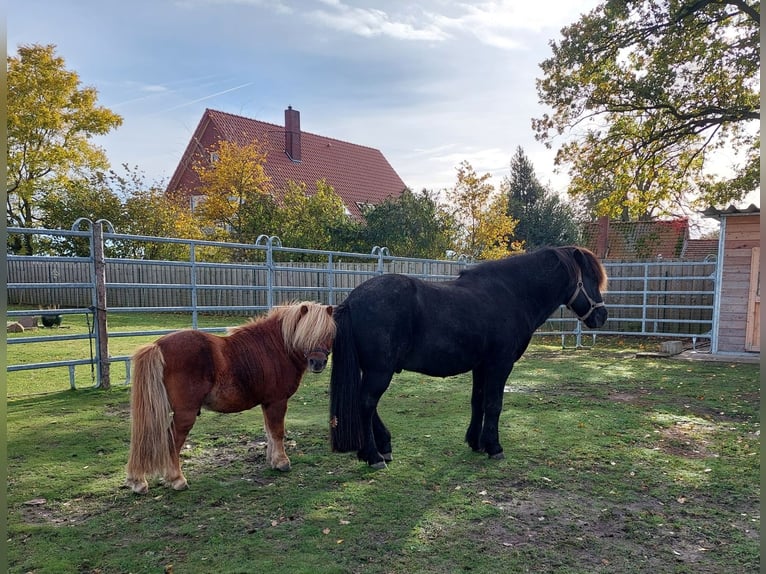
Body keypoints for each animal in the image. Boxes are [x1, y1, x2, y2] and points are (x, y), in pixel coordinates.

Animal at [125, 301, 335, 494]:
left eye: (329, 334)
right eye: (307, 333)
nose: (317, 363)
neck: (274, 347)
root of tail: (157, 345)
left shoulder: (267, 403)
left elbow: (269, 431)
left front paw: (272, 460)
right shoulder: (277, 402)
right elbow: (278, 432)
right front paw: (282, 462)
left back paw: (138, 481)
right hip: (184, 414)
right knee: (171, 441)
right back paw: (177, 479)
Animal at [329, 246, 608, 469]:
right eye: (591, 280)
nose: (602, 316)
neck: (512, 294)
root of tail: (351, 301)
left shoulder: (481, 366)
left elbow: (479, 402)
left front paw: (477, 442)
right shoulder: (500, 364)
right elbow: (494, 404)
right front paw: (494, 447)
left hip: (373, 369)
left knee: (366, 404)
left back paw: (383, 447)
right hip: (380, 371)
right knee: (366, 404)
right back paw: (374, 456)